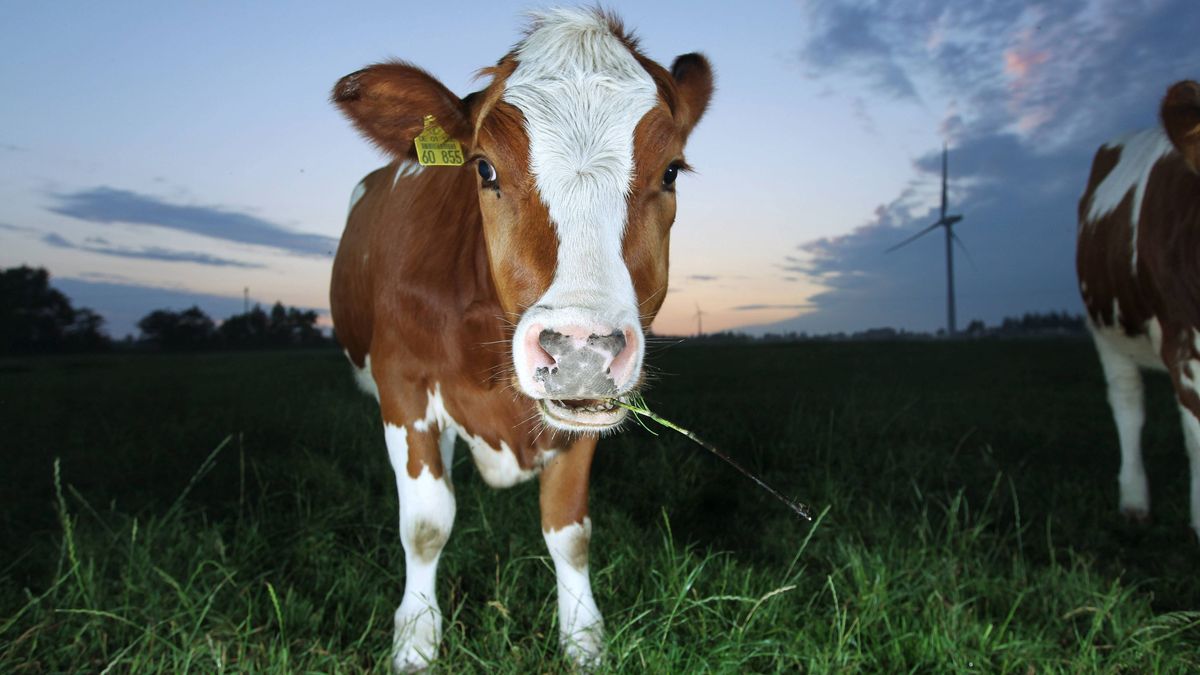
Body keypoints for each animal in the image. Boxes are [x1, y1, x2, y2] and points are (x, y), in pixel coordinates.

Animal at [328, 7, 705, 667]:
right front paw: (416, 640)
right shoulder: (403, 385)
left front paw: (583, 641)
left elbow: (569, 529)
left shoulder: (582, 414)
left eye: (671, 171)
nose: (580, 348)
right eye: (484, 167)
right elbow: (425, 524)